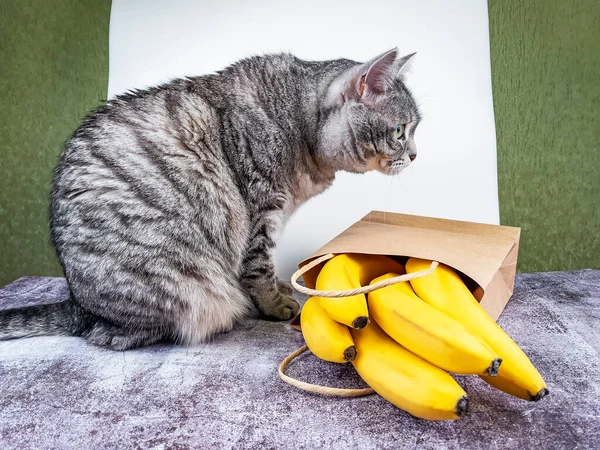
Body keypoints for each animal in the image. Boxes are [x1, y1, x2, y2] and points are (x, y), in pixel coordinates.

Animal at [0, 50, 422, 352]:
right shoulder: (261, 208)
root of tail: (77, 302)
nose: (416, 155)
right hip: (179, 285)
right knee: (114, 335)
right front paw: (274, 304)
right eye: (400, 131)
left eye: (412, 130)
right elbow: (259, 266)